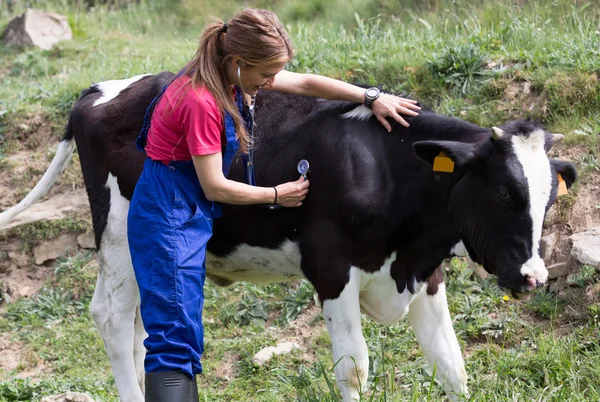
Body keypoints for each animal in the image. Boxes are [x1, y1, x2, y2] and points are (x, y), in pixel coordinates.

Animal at [2, 72, 580, 402]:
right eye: (504, 192)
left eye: (549, 199)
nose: (533, 277)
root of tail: (98, 91)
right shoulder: (331, 269)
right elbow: (354, 370)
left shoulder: (423, 270)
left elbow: (451, 367)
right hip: (120, 233)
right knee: (114, 317)